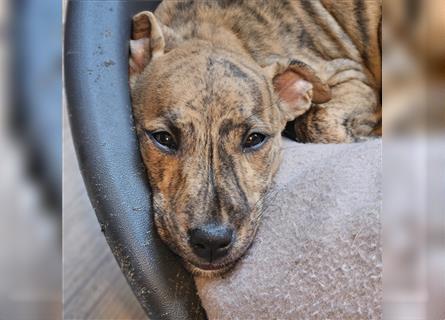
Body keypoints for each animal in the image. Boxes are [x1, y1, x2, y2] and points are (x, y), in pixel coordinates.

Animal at [129, 0, 382, 276]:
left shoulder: (350, 75)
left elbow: (319, 122)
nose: (211, 241)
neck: (212, 30)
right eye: (163, 138)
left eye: (254, 139)